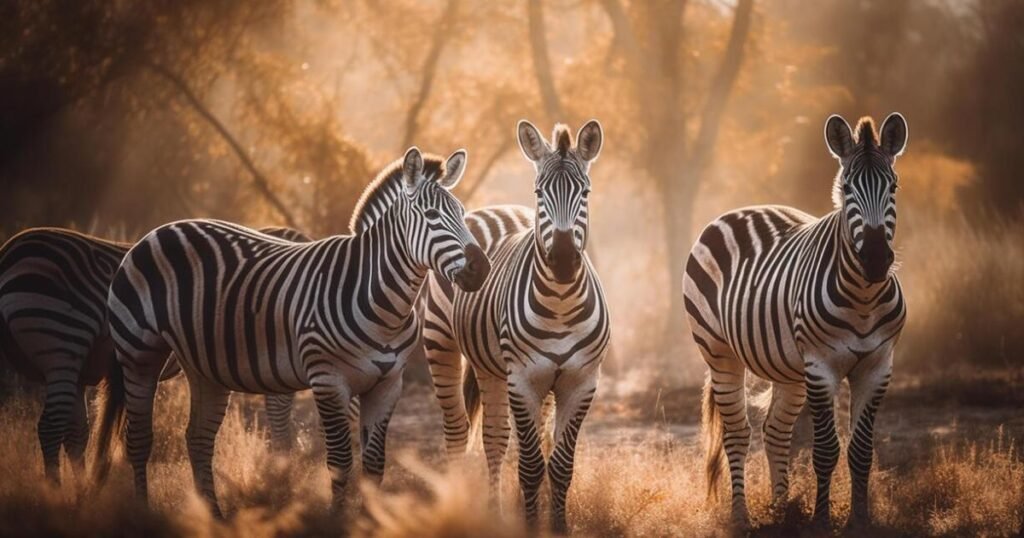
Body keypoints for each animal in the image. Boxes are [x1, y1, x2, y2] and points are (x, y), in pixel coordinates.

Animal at [0, 226, 308, 483]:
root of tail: (8, 253)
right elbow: (281, 427)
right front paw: (284, 473)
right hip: (63, 344)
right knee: (50, 428)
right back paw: (55, 493)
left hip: (73, 363)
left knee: (74, 433)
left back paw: (77, 493)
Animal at [91, 147, 490, 515]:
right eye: (432, 216)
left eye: (462, 214)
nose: (481, 269)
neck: (382, 302)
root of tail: (162, 229)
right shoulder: (328, 380)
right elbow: (340, 463)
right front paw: (336, 521)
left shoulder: (388, 384)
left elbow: (374, 466)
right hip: (138, 352)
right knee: (139, 439)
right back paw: (143, 512)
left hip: (204, 365)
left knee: (198, 438)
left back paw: (214, 518)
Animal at [422, 121, 610, 532]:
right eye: (539, 192)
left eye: (586, 193)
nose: (563, 260)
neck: (560, 304)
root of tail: (497, 209)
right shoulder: (522, 379)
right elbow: (530, 465)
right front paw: (531, 525)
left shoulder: (581, 382)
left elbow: (560, 465)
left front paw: (557, 527)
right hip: (441, 344)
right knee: (460, 432)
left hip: (492, 368)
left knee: (494, 438)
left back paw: (495, 511)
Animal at [684, 113, 908, 529]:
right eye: (847, 189)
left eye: (894, 186)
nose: (874, 259)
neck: (863, 298)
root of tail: (743, 208)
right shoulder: (821, 366)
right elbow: (825, 450)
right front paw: (820, 521)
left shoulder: (877, 367)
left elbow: (861, 450)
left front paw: (859, 521)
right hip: (720, 353)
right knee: (738, 433)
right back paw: (741, 517)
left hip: (788, 367)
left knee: (775, 431)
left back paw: (781, 509)